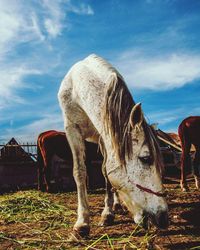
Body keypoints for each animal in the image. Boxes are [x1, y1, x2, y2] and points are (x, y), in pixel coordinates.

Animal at [58, 54, 169, 236]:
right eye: (145, 158)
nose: (164, 218)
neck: (78, 90)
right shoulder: (72, 129)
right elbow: (79, 172)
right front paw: (82, 222)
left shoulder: (105, 135)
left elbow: (106, 172)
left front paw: (108, 213)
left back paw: (116, 205)